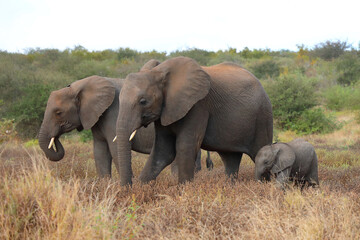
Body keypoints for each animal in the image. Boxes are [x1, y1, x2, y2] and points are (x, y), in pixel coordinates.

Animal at [38, 60, 212, 177]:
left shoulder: (111, 114)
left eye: (58, 112)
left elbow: (114, 150)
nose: (56, 139)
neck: (79, 86)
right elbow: (99, 152)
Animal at [116, 56, 274, 186]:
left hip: (263, 117)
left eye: (143, 101)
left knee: (260, 154)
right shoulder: (166, 111)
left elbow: (185, 146)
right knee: (230, 159)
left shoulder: (198, 106)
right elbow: (163, 151)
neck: (158, 72)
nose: (126, 188)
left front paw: (183, 192)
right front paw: (140, 190)